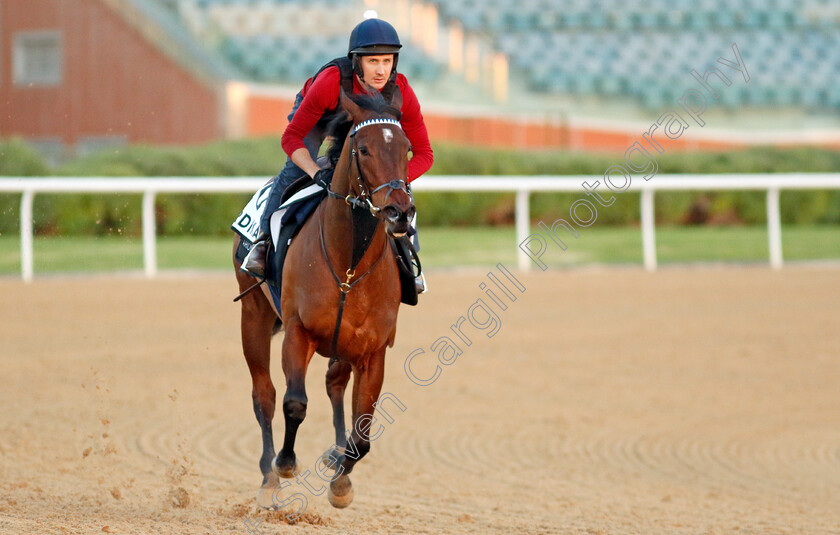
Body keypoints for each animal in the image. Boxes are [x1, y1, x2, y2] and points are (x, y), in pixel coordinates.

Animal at [231, 88, 416, 510]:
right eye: (363, 149)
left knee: (334, 383)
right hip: (254, 316)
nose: (399, 211)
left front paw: (340, 482)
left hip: (342, 343)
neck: (348, 263)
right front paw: (285, 463)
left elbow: (362, 434)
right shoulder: (298, 332)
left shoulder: (372, 349)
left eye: (407, 149)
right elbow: (294, 403)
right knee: (264, 395)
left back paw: (334, 454)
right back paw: (269, 478)